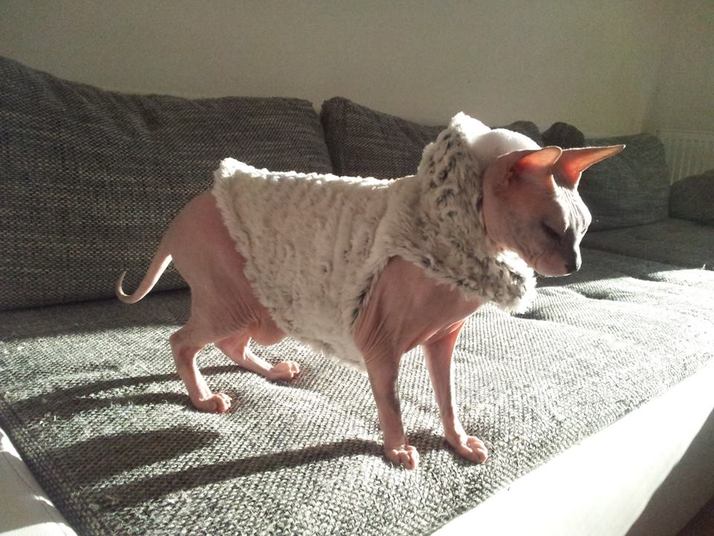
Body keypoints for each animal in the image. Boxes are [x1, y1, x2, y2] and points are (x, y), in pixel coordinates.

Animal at [116, 112, 623, 469]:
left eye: (584, 229)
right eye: (551, 229)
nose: (576, 265)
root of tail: (186, 211)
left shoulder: (443, 340)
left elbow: (448, 398)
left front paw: (458, 442)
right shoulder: (378, 342)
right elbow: (392, 404)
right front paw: (398, 451)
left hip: (264, 307)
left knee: (230, 344)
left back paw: (272, 371)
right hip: (232, 300)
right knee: (182, 340)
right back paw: (203, 398)